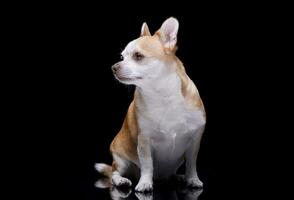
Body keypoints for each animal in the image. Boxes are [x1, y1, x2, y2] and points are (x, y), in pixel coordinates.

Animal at [95, 17, 206, 192]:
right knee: (114, 173)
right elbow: (147, 165)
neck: (161, 94)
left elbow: (191, 164)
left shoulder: (194, 141)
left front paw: (192, 179)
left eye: (138, 56)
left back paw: (179, 177)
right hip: (121, 160)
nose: (114, 67)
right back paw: (122, 181)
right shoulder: (144, 141)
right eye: (122, 57)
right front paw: (145, 183)